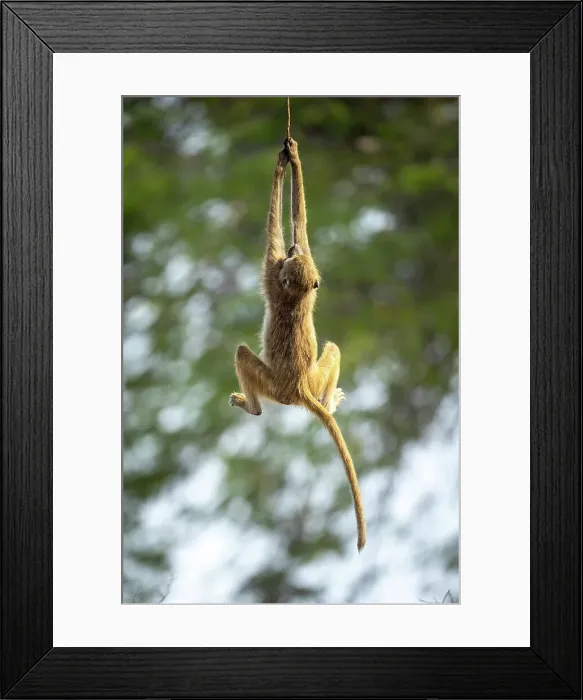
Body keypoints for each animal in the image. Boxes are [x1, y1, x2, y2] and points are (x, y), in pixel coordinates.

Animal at [229, 137, 366, 553]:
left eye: (290, 263)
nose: (293, 254)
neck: (296, 296)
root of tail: (301, 389)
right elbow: (300, 224)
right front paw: (294, 159)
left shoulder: (270, 275)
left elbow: (275, 228)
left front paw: (283, 164)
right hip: (314, 376)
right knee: (334, 349)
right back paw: (328, 402)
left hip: (274, 387)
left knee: (243, 356)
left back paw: (253, 407)